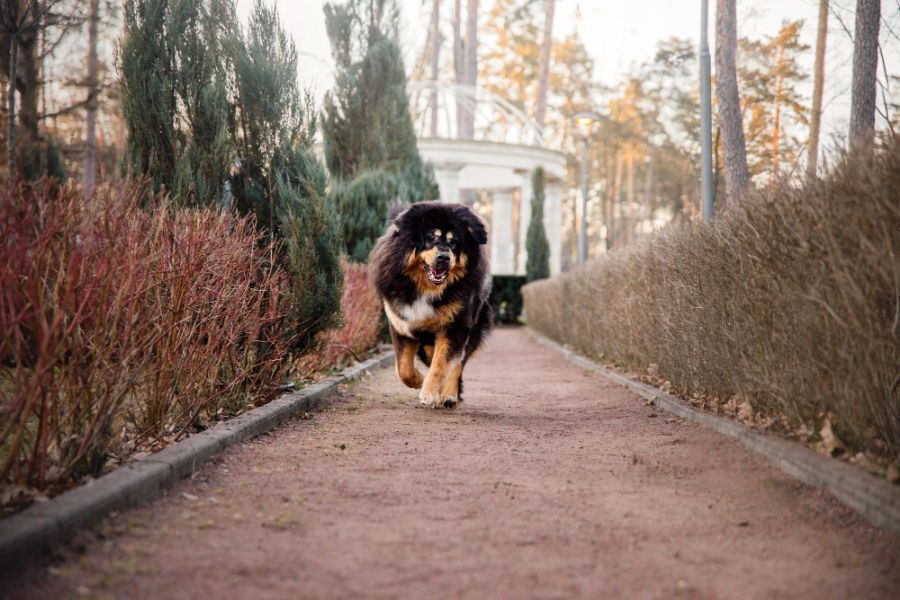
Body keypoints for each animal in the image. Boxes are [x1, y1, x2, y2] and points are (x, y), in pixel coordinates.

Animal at [370, 202, 492, 408]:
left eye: (454, 241)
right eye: (430, 238)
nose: (444, 257)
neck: (427, 290)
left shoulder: (455, 328)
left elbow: (441, 364)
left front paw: (429, 393)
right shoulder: (401, 325)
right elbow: (403, 368)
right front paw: (419, 380)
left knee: (457, 364)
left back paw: (449, 395)